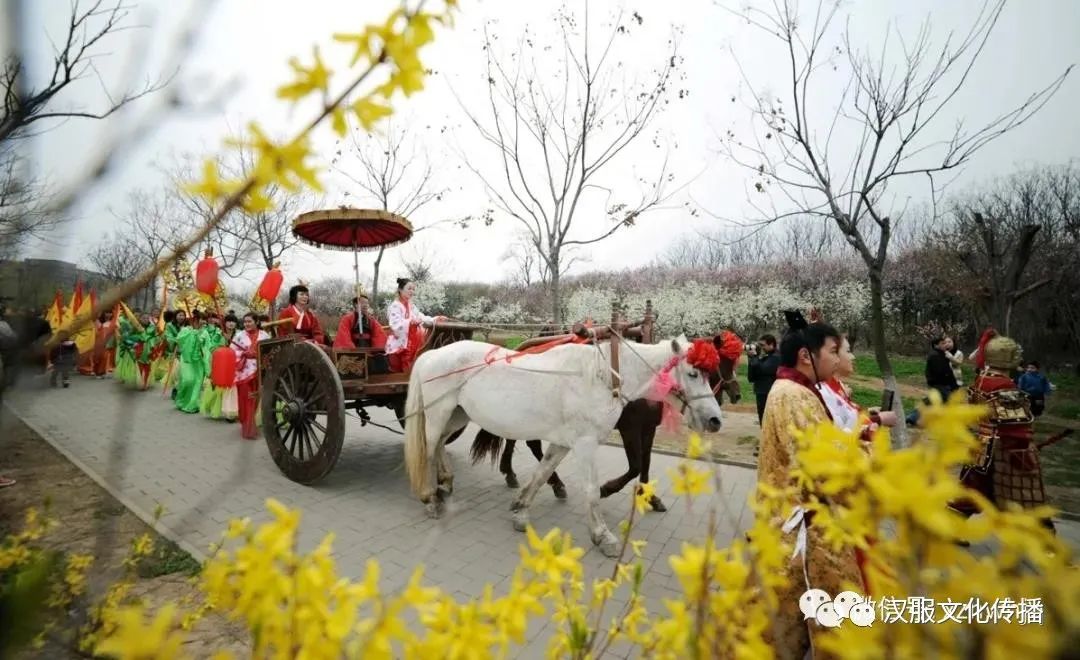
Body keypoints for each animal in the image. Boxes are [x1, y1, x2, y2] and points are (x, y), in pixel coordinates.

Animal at [401, 334, 721, 557]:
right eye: (693, 373)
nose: (715, 420)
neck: (601, 377)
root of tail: (432, 355)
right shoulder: (586, 444)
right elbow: (591, 490)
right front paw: (603, 535)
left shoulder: (563, 443)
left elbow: (542, 473)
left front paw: (520, 510)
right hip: (439, 413)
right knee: (429, 449)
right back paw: (430, 498)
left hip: (457, 416)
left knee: (440, 445)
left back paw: (445, 483)